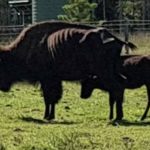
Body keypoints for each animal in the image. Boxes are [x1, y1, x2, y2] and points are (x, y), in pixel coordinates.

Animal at [0, 20, 137, 120]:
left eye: (3, 65)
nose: (3, 87)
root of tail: (116, 39)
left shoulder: (47, 80)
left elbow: (49, 98)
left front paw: (47, 116)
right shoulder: (53, 80)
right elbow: (52, 98)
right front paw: (50, 116)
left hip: (105, 72)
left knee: (117, 87)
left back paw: (116, 117)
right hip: (111, 72)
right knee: (119, 86)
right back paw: (116, 116)